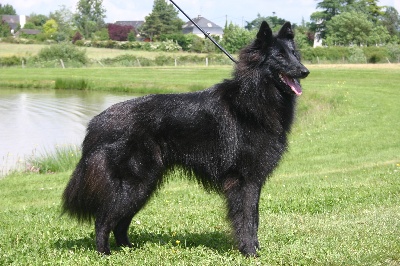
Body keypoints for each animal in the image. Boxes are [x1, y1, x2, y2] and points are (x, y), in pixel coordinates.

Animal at [61, 21, 310, 256]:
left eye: (294, 54)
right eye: (279, 56)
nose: (305, 71)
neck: (254, 97)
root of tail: (97, 123)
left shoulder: (253, 180)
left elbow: (255, 218)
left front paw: (255, 249)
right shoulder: (244, 180)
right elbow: (247, 218)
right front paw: (249, 251)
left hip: (145, 185)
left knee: (120, 222)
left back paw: (128, 248)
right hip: (133, 184)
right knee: (103, 219)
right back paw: (104, 252)